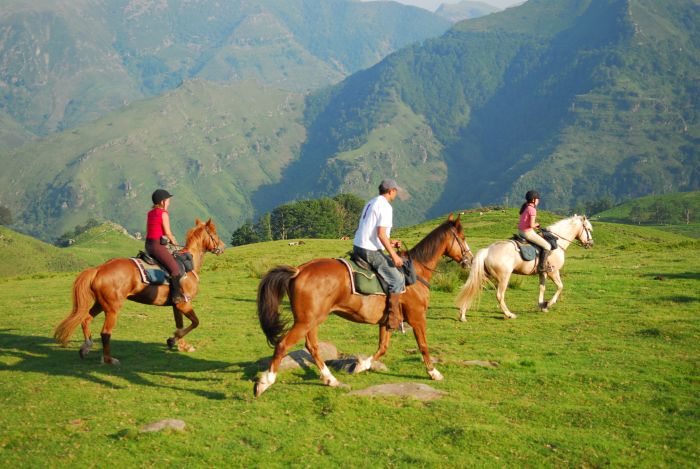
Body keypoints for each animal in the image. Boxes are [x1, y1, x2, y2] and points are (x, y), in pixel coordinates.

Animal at [54, 218, 224, 364]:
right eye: (214, 233)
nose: (222, 247)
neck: (188, 265)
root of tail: (99, 269)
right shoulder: (184, 304)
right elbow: (195, 322)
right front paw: (173, 340)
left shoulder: (177, 305)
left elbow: (180, 324)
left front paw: (181, 344)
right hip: (112, 308)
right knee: (105, 333)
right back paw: (109, 359)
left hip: (101, 304)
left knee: (86, 320)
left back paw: (86, 347)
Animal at [254, 214, 474, 396]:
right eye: (462, 238)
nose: (470, 259)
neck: (415, 272)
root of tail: (299, 270)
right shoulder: (417, 317)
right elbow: (423, 346)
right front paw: (433, 372)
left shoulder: (387, 321)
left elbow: (383, 348)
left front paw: (361, 365)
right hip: (305, 321)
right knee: (283, 345)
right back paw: (265, 382)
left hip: (312, 320)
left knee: (312, 347)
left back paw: (330, 379)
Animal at [454, 214, 592, 320]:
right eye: (589, 229)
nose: (591, 244)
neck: (556, 243)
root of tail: (487, 251)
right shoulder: (553, 271)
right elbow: (560, 287)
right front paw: (549, 303)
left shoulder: (543, 272)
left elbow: (542, 288)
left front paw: (542, 305)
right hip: (503, 278)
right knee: (499, 295)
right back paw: (509, 314)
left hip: (483, 276)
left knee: (472, 289)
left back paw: (462, 314)